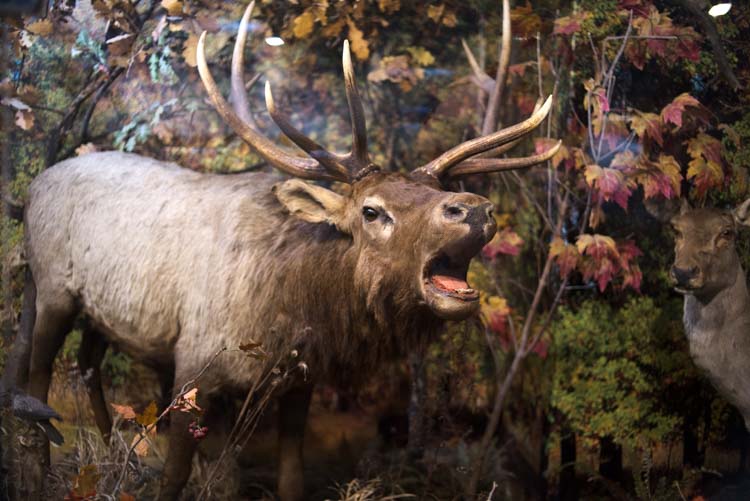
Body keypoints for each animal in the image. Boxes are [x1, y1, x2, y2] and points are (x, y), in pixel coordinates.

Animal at [20, 3, 560, 499]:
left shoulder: (301, 379)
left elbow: (292, 477)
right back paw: (39, 469)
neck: (292, 305)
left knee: (88, 367)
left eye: (438, 191)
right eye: (371, 211)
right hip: (51, 286)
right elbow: (174, 475)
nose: (473, 208)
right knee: (36, 374)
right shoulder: (193, 360)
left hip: (101, 315)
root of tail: (35, 185)